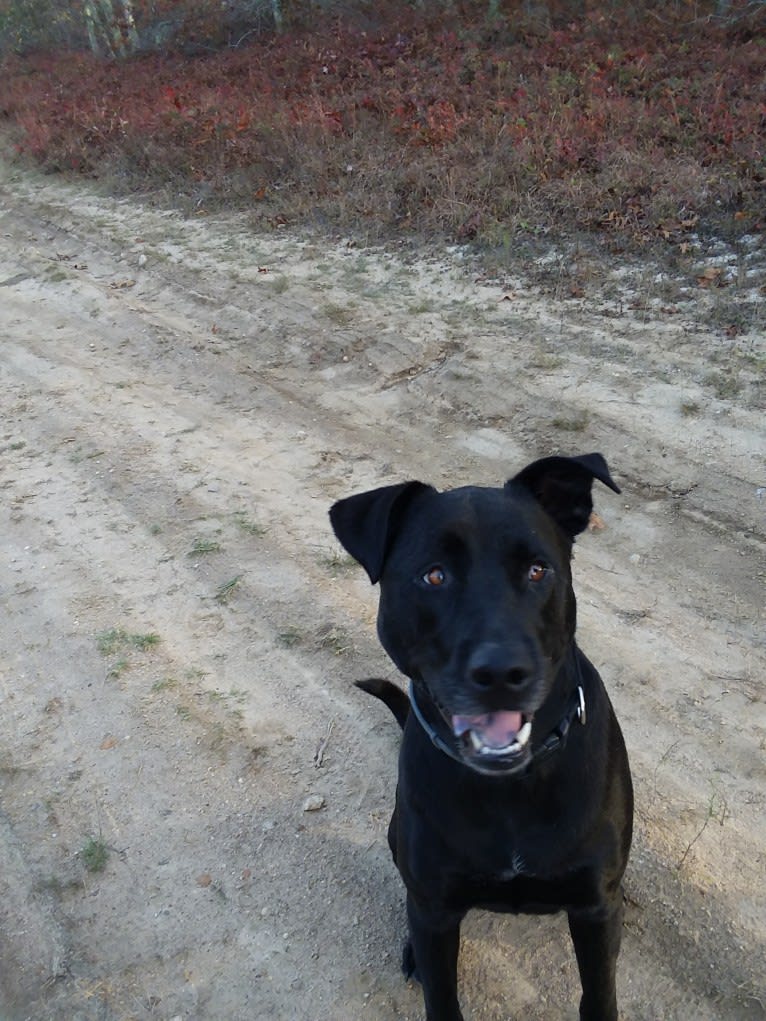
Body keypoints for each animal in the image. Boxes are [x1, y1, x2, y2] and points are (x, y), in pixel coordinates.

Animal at [330, 455, 637, 1021]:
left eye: (537, 570)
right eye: (434, 575)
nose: (501, 673)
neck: (510, 789)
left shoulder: (594, 907)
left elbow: (600, 994)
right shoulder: (433, 906)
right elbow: (441, 995)